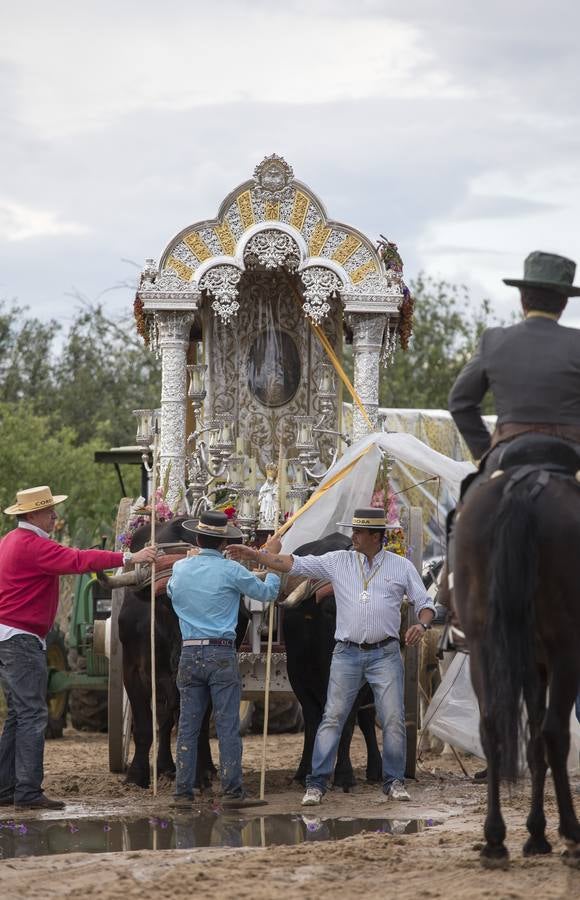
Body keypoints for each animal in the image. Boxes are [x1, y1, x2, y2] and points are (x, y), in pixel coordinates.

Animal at [454, 432, 580, 868]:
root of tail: (525, 482)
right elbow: (544, 737)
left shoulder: (533, 665)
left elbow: (532, 742)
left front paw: (535, 833)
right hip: (565, 649)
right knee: (556, 732)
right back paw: (572, 833)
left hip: (484, 648)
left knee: (493, 726)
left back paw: (495, 839)